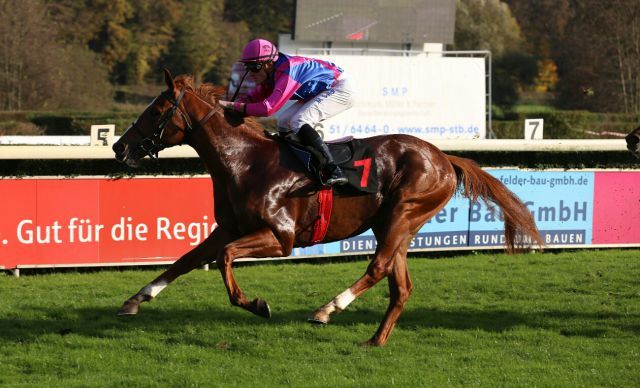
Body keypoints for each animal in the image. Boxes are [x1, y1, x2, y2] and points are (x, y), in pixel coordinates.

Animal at [112, 69, 544, 346]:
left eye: (155, 111)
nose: (118, 146)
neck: (245, 161)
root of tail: (443, 156)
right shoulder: (229, 227)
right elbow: (186, 259)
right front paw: (134, 300)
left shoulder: (280, 237)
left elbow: (225, 258)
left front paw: (256, 304)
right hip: (396, 224)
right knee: (400, 285)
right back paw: (375, 340)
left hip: (404, 212)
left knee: (378, 268)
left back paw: (326, 310)